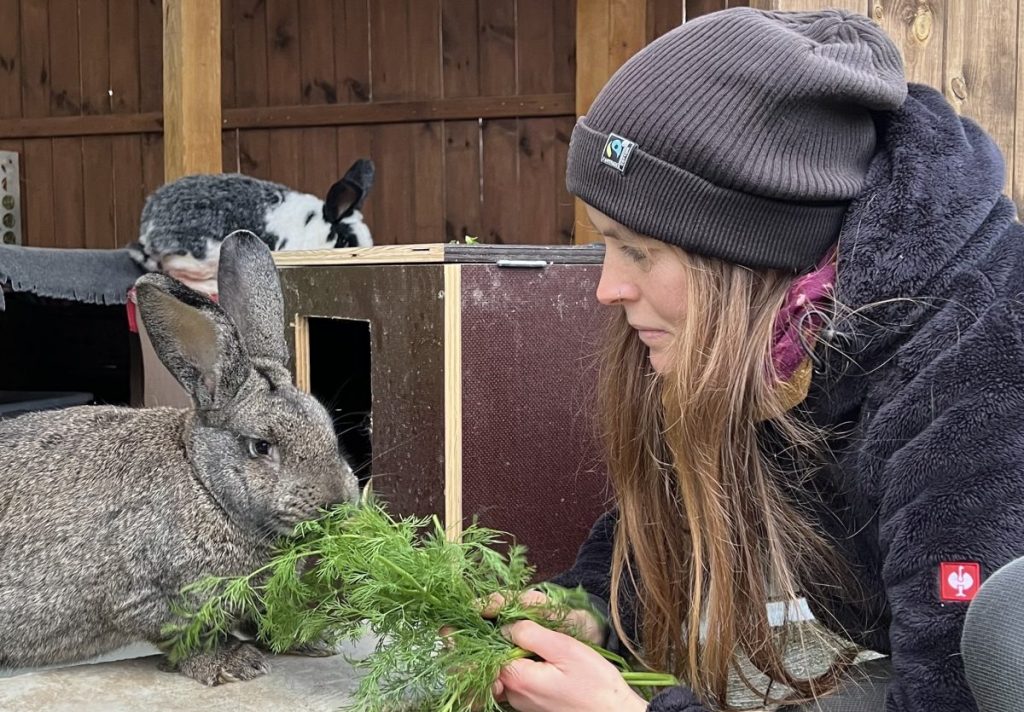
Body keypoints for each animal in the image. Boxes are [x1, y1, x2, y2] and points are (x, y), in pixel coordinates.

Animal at [0, 232, 360, 684]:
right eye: (261, 446)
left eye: (328, 428)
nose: (339, 502)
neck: (204, 484)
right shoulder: (153, 598)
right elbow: (189, 637)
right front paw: (233, 664)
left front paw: (306, 639)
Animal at [128, 158, 376, 295]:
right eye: (344, 240)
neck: (309, 226)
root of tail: (149, 227)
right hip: (198, 258)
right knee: (174, 272)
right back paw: (212, 287)